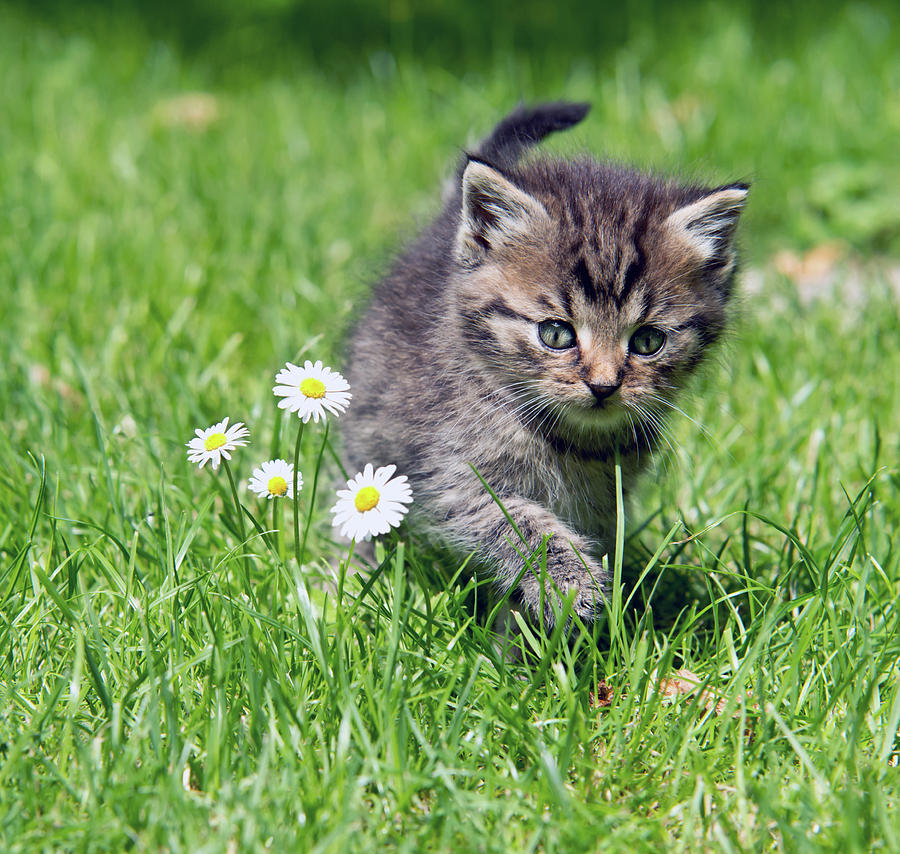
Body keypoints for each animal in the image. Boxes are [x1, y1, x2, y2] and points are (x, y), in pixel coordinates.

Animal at [342, 102, 748, 628]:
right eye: (556, 334)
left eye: (648, 341)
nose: (603, 385)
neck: (572, 441)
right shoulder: (452, 474)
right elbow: (516, 523)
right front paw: (571, 585)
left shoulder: (605, 497)